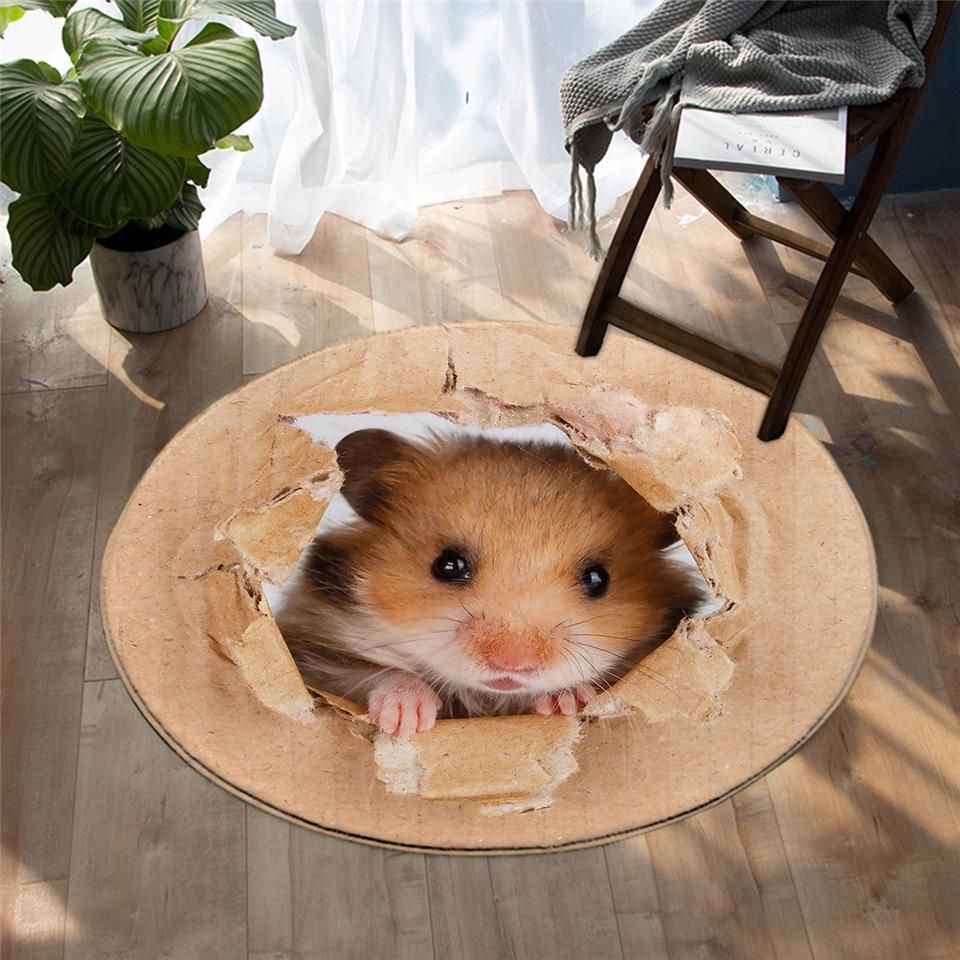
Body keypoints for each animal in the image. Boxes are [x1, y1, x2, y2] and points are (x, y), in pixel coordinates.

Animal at [276, 428, 703, 736]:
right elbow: (380, 672)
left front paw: (566, 702)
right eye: (447, 565)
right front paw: (408, 719)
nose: (513, 664)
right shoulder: (312, 651)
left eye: (598, 578)